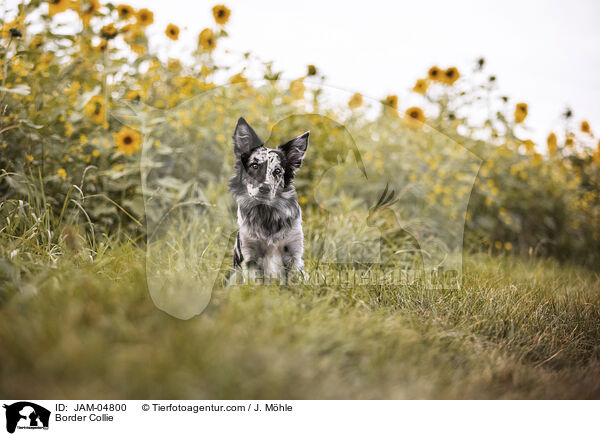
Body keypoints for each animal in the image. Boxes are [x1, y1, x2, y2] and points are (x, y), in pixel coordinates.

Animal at [226, 117, 310, 284]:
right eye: (254, 165)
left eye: (277, 171)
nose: (264, 188)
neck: (267, 215)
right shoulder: (250, 257)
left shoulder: (294, 256)